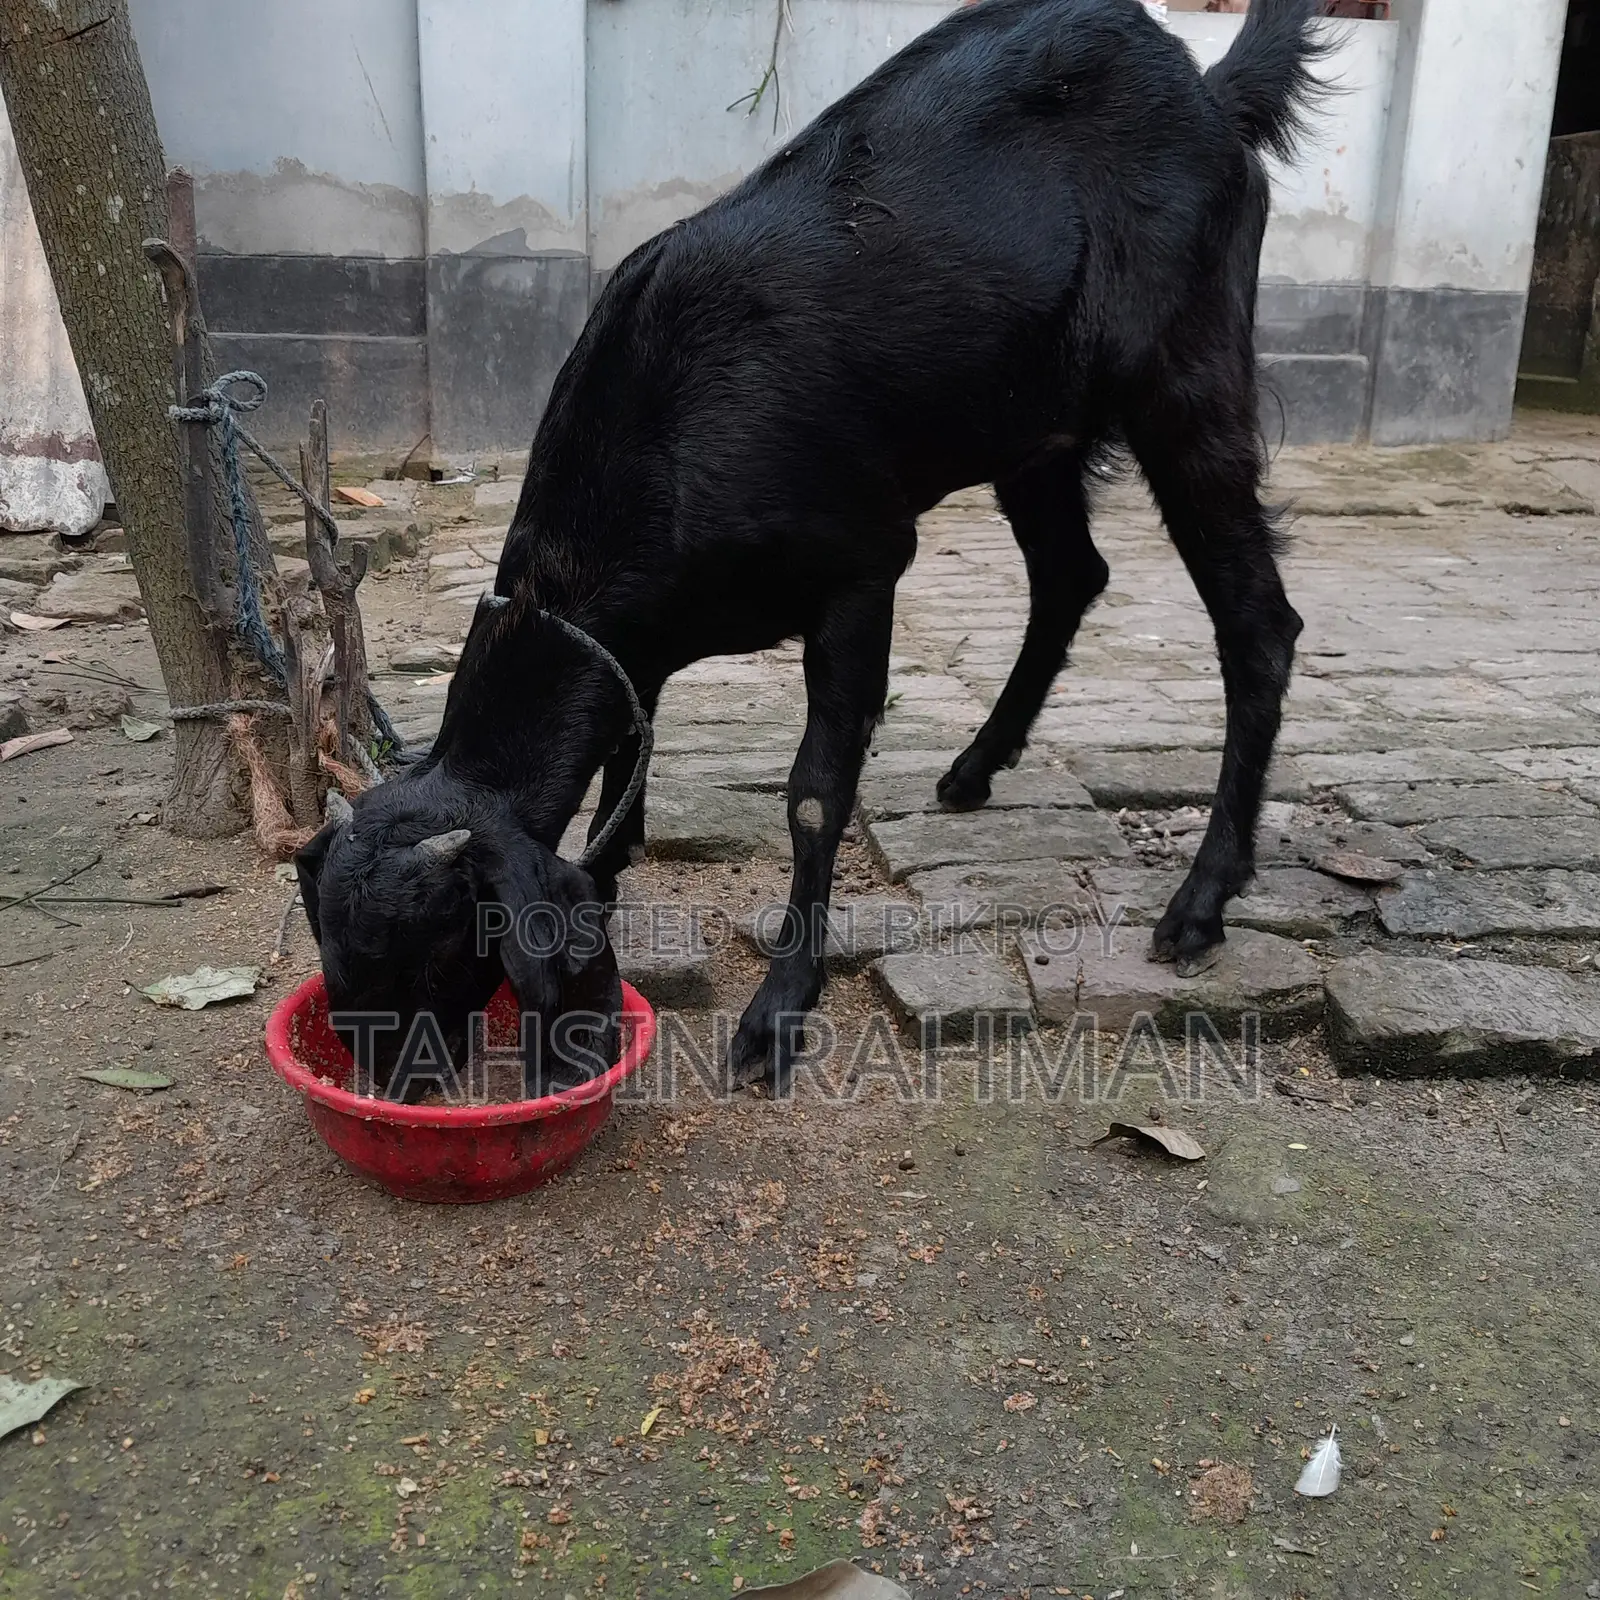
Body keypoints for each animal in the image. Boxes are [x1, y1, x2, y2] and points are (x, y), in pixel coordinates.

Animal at [297, 0, 1327, 1094]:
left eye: (436, 946)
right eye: (333, 949)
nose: (387, 1083)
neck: (666, 439)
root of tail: (1210, 96)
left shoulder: (862, 571)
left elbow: (811, 795)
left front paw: (777, 1010)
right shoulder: (636, 649)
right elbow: (625, 759)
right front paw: (610, 879)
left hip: (1188, 380)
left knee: (1257, 622)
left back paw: (1202, 900)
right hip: (1029, 429)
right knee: (1069, 574)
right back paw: (977, 766)